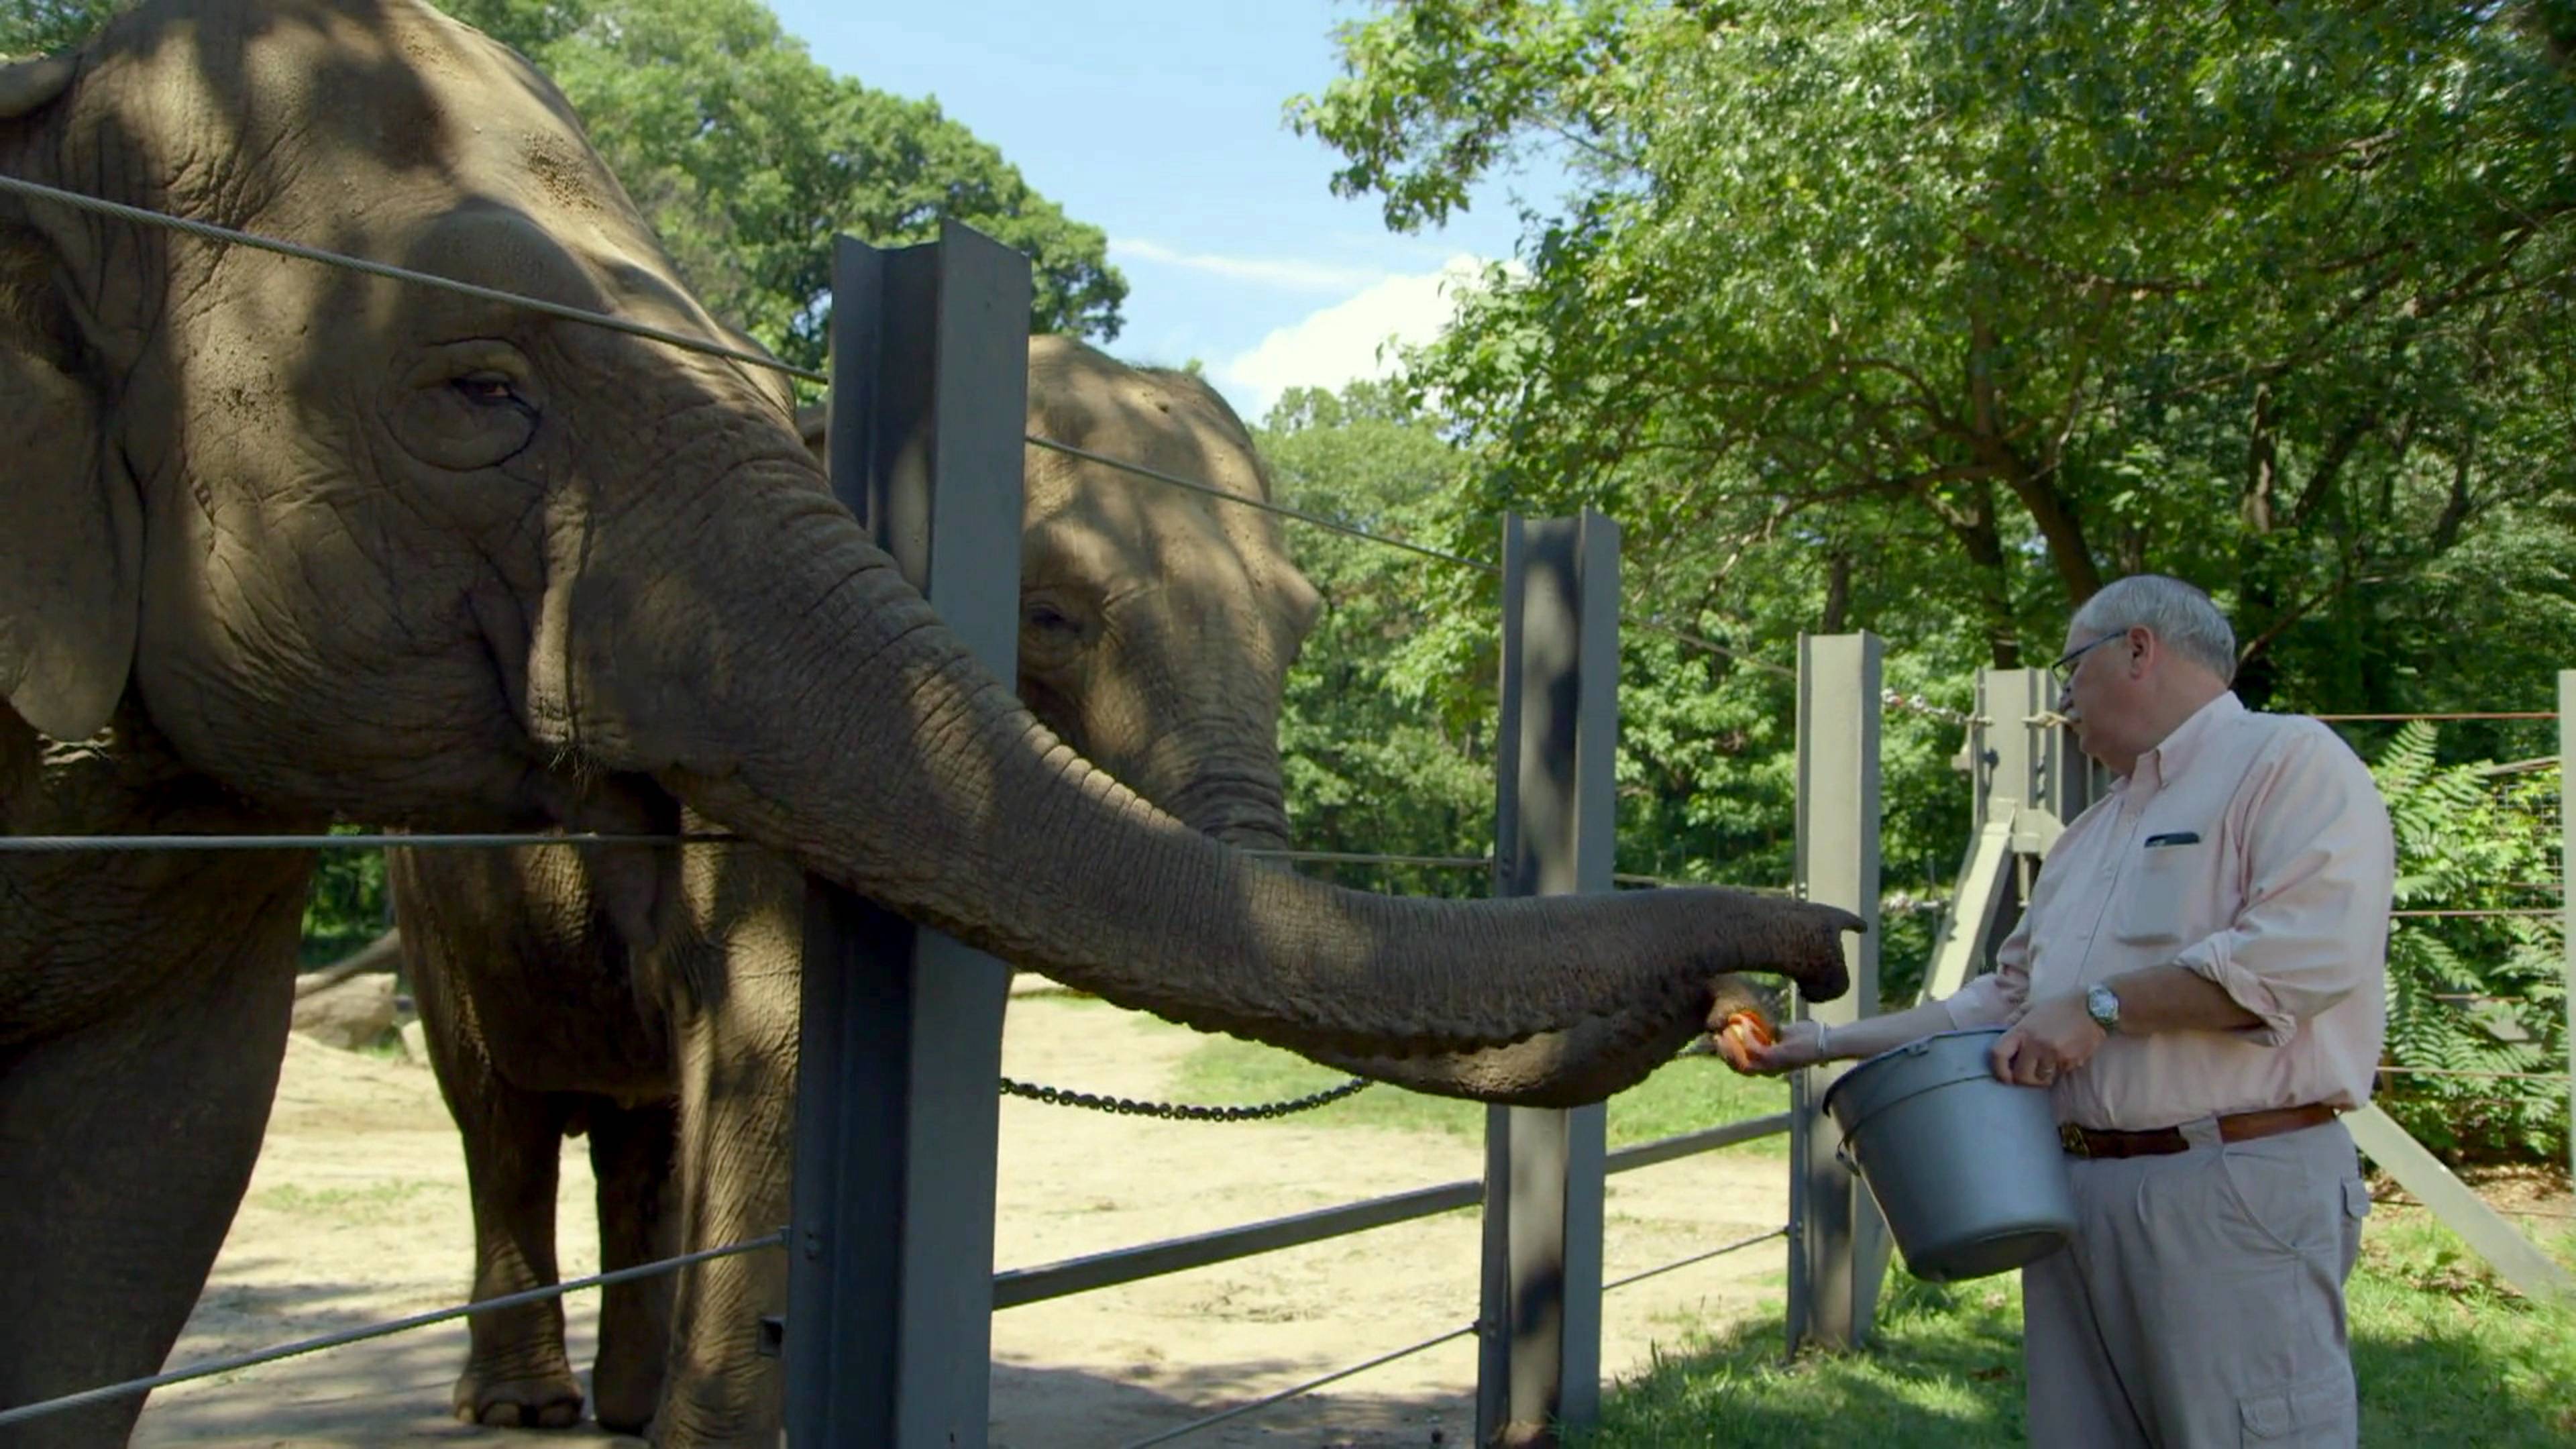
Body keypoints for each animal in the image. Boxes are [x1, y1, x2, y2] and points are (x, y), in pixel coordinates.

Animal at [386, 335, 1325, 1440]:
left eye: (1302, 626)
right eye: (1050, 617)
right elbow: (773, 1028)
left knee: (640, 1132)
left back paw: (626, 1408)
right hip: (428, 894)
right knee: (501, 1119)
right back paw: (521, 1409)